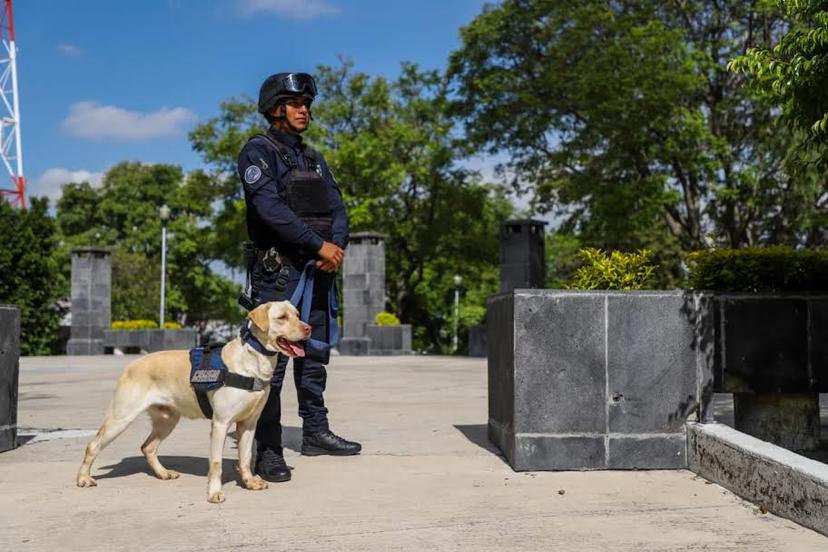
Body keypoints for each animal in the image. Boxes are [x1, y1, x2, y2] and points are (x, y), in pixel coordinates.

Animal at [76, 302, 308, 504]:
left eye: (297, 314)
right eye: (282, 317)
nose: (309, 328)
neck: (253, 362)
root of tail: (132, 363)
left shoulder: (249, 423)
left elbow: (245, 456)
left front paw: (250, 482)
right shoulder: (221, 423)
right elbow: (216, 462)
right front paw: (214, 493)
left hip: (168, 419)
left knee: (147, 447)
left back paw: (163, 473)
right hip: (121, 417)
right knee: (93, 445)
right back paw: (83, 478)